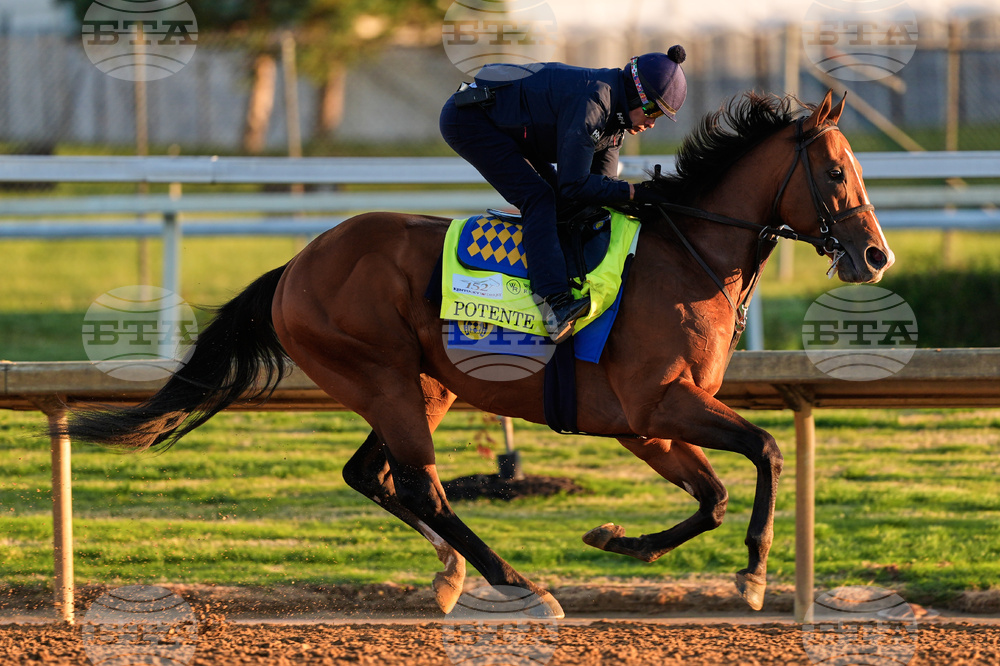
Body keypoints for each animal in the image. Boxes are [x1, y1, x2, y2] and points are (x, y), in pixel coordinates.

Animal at [64, 90, 894, 618]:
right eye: (835, 171)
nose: (875, 255)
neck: (686, 258)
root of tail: (294, 266)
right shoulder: (657, 403)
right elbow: (765, 451)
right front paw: (752, 574)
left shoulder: (645, 426)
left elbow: (713, 494)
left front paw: (617, 540)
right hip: (384, 376)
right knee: (421, 486)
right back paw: (519, 584)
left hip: (425, 384)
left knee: (372, 475)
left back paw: (455, 572)